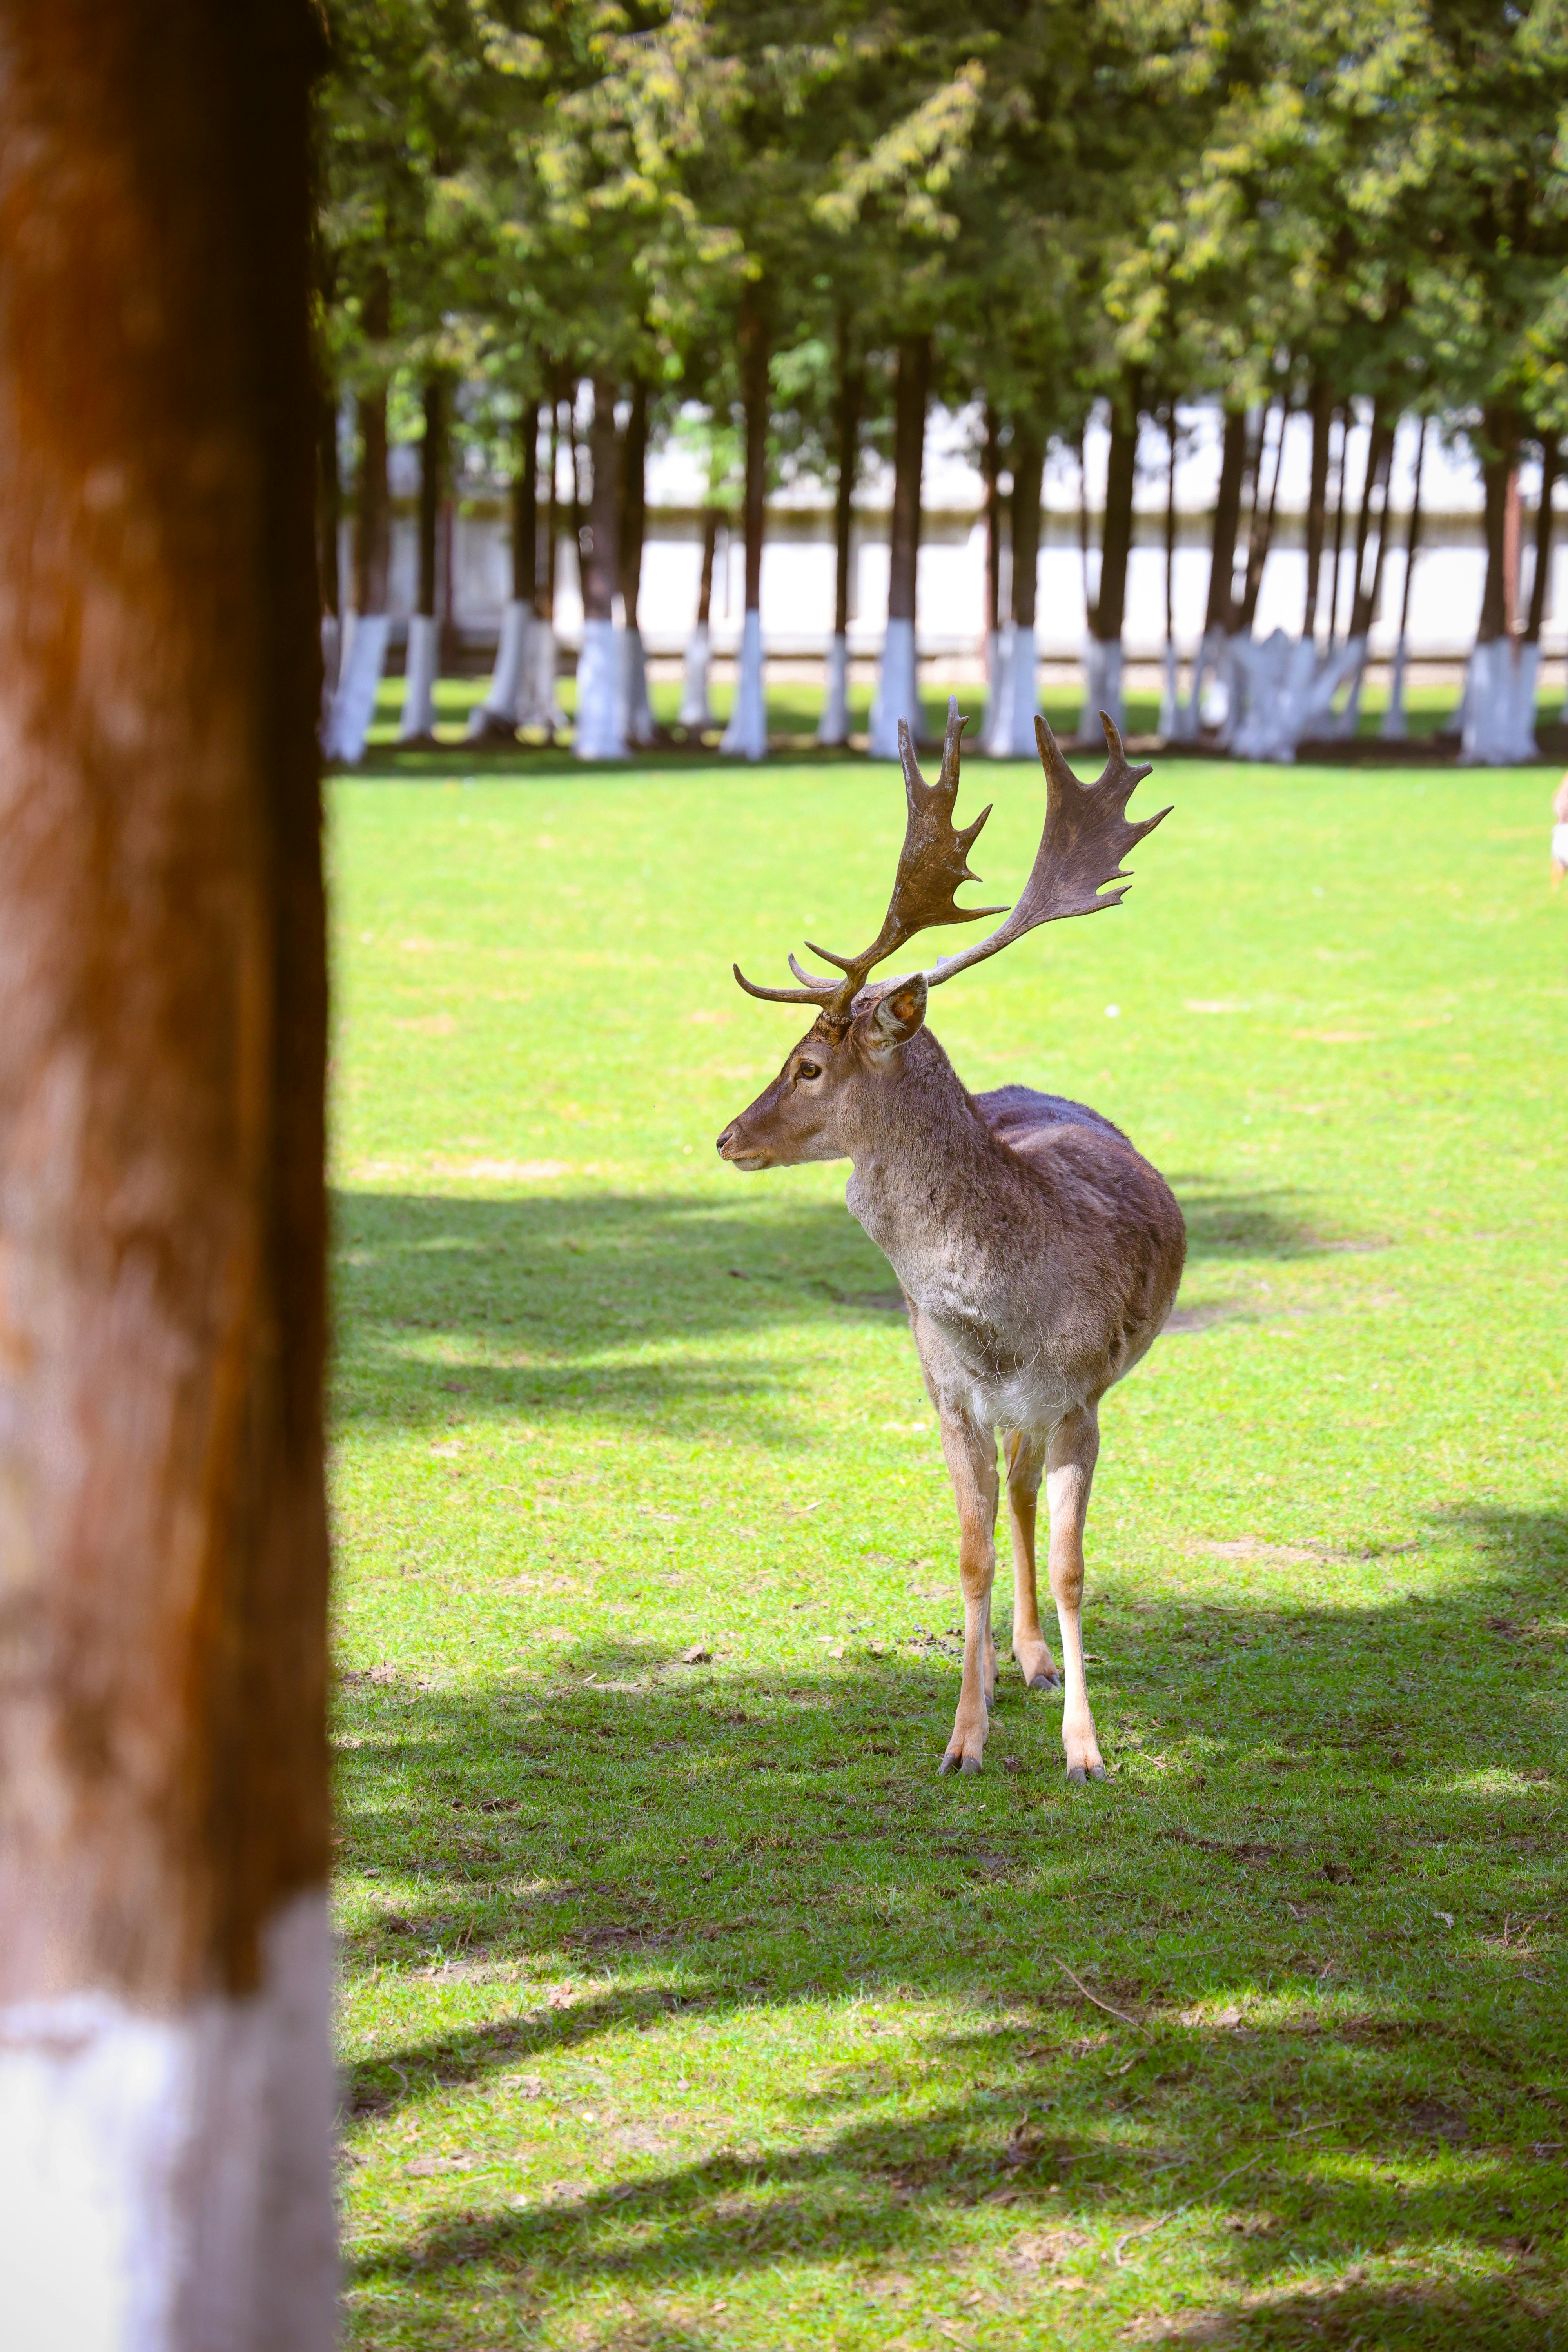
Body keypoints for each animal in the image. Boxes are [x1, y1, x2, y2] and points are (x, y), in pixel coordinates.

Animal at [715, 699, 1185, 1783]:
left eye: (807, 1067)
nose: (725, 1136)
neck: (1001, 1319)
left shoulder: (1079, 1395)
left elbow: (1072, 1565)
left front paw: (1085, 1750)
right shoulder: (947, 1392)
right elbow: (969, 1552)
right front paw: (964, 1736)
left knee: (1025, 1498)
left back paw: (1038, 1662)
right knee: (1008, 1500)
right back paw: (1014, 1667)